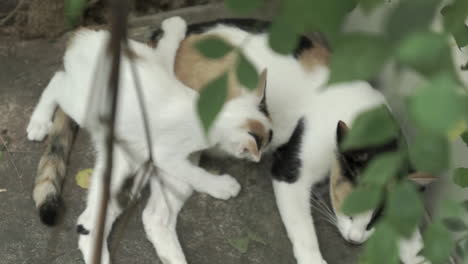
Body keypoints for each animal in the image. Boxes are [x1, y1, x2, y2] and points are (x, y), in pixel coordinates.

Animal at [26, 17, 274, 264]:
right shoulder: (165, 155)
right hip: (83, 105)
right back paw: (39, 122)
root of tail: (83, 37)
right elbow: (193, 173)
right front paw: (221, 185)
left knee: (93, 215)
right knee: (57, 82)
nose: (267, 153)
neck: (214, 114)